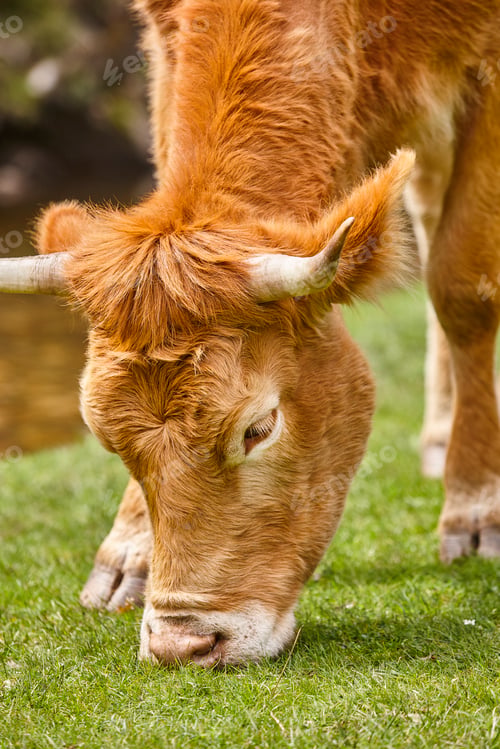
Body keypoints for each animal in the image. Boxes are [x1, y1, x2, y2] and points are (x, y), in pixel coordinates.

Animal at [1, 0, 500, 667]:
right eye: (107, 439)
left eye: (258, 428)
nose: (183, 642)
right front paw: (128, 549)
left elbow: (464, 284)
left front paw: (474, 507)